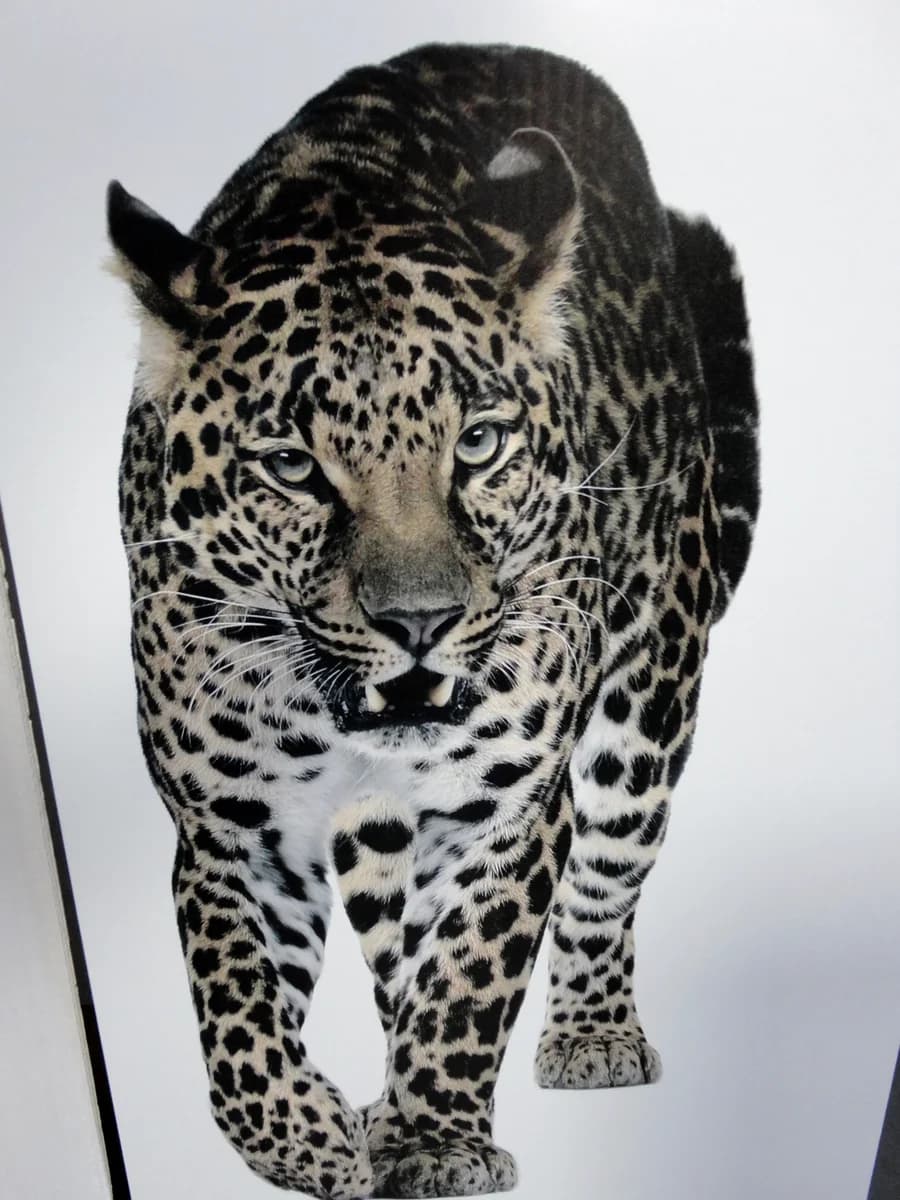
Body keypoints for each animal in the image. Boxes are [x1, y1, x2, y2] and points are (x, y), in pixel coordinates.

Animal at [109, 42, 759, 1200]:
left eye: (480, 443)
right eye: (292, 467)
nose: (424, 624)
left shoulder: (505, 809)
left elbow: (468, 979)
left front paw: (435, 1141)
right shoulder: (230, 832)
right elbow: (235, 1021)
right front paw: (319, 1138)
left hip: (648, 695)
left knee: (606, 876)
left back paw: (591, 1033)